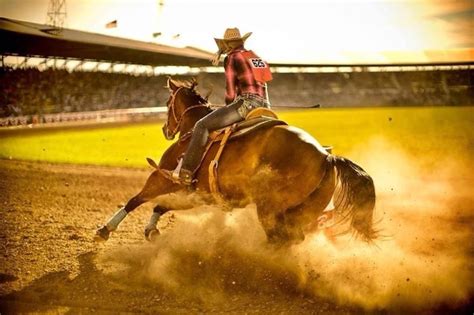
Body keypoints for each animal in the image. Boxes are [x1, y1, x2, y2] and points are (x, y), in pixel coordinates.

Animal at [95, 78, 378, 244]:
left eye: (167, 102)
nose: (166, 129)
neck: (194, 130)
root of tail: (326, 156)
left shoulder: (163, 176)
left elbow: (137, 199)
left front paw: (105, 229)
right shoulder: (199, 193)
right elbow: (162, 205)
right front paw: (151, 229)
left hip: (270, 209)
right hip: (304, 211)